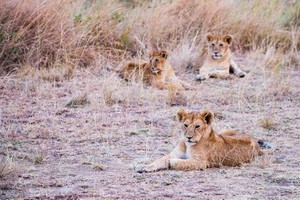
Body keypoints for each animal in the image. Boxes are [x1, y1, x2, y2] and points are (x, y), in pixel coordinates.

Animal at [136, 108, 270, 173]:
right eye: (185, 125)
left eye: (197, 126)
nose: (188, 137)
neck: (187, 145)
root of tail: (255, 141)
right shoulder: (174, 153)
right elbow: (160, 160)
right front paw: (145, 167)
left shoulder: (200, 162)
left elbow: (177, 162)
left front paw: (171, 162)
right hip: (225, 131)